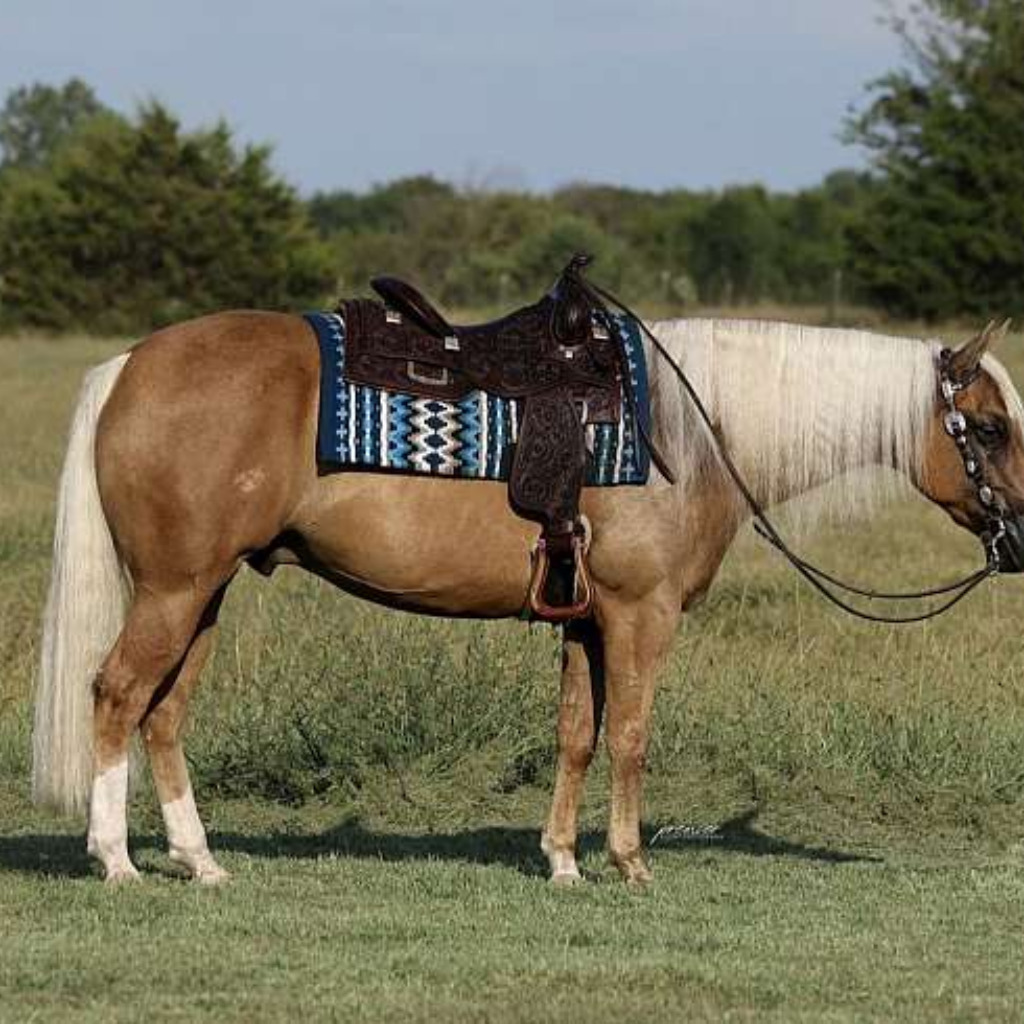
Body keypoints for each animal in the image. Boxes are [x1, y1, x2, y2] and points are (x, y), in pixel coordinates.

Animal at [30, 311, 1024, 886]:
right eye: (988, 427)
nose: (1020, 537)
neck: (684, 434)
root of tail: (130, 364)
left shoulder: (584, 620)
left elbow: (577, 735)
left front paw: (562, 862)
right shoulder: (638, 615)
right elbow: (630, 735)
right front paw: (628, 863)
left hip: (204, 593)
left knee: (164, 715)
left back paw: (200, 862)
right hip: (173, 591)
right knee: (117, 696)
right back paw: (116, 861)